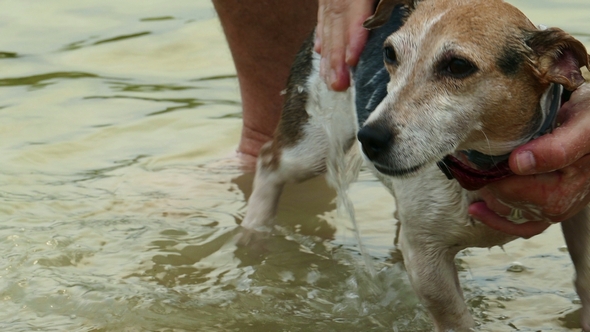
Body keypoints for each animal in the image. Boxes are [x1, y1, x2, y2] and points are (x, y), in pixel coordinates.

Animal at [242, 0, 590, 330]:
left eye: (458, 65)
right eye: (390, 54)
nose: (369, 137)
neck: (483, 168)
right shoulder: (426, 258)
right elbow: (454, 318)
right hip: (312, 144)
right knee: (269, 161)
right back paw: (254, 232)